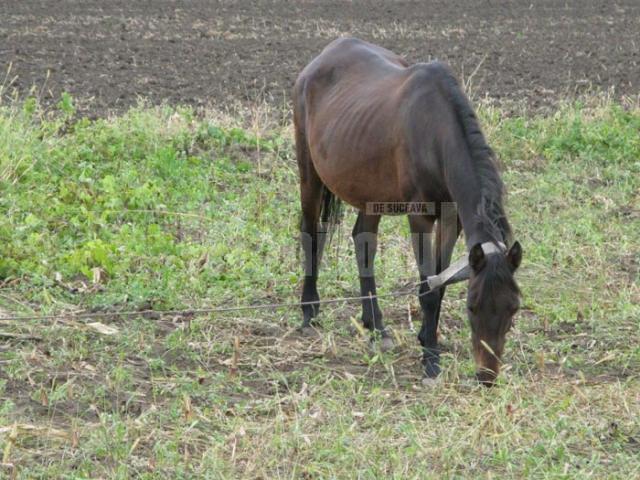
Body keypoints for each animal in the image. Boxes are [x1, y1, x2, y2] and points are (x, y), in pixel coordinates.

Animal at [292, 37, 524, 384]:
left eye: (513, 308)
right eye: (471, 306)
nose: (487, 376)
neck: (436, 133)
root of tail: (321, 58)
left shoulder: (451, 218)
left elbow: (439, 284)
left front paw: (427, 340)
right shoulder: (421, 218)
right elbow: (427, 287)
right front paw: (430, 360)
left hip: (369, 190)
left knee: (363, 242)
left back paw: (376, 325)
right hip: (310, 174)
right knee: (310, 235)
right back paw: (309, 312)